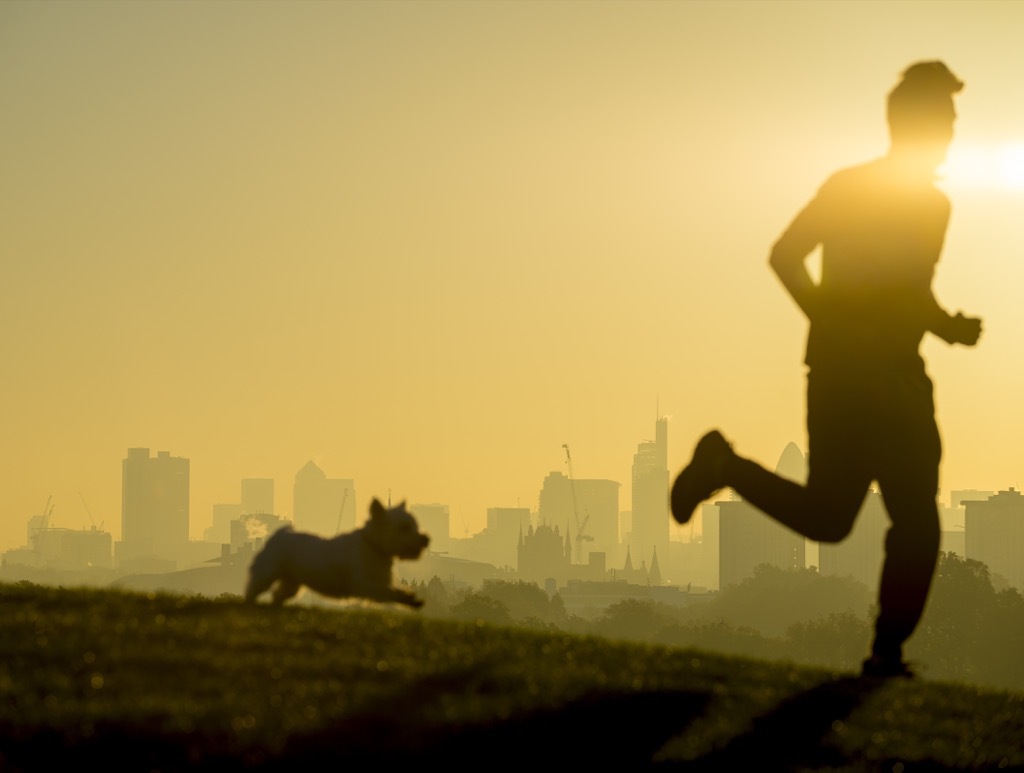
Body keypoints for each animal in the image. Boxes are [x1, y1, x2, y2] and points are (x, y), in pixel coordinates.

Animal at [245, 499, 430, 606]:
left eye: (415, 525)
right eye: (404, 528)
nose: (425, 539)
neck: (373, 546)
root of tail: (280, 534)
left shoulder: (381, 581)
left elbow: (394, 591)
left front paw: (410, 598)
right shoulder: (362, 584)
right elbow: (385, 592)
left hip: (292, 582)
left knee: (278, 595)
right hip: (267, 572)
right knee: (253, 589)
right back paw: (250, 604)